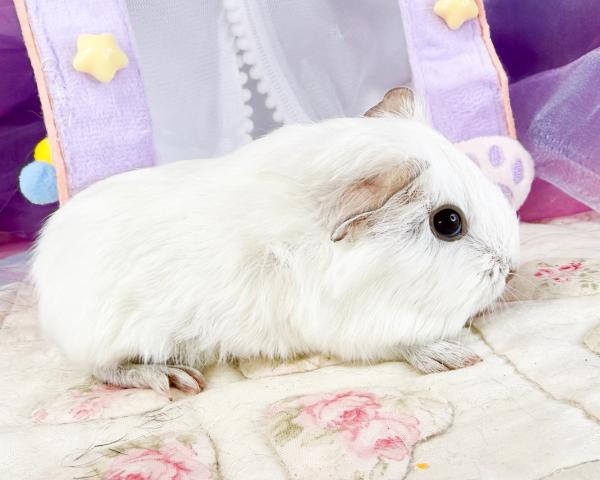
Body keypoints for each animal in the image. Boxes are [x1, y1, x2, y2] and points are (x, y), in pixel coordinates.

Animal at [31, 88, 519, 397]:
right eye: (448, 223)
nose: (511, 269)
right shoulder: (350, 328)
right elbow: (400, 342)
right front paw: (455, 357)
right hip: (111, 340)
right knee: (106, 369)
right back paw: (176, 380)